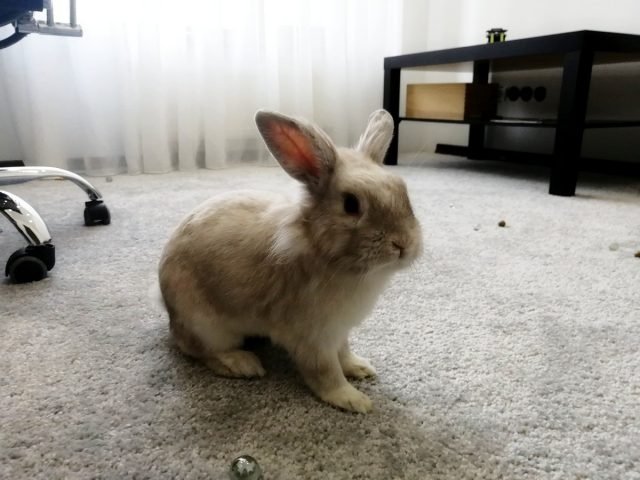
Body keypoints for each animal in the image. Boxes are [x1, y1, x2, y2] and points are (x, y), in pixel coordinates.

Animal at [158, 109, 422, 412]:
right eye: (351, 204)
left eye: (403, 191)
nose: (403, 244)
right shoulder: (313, 336)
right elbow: (325, 372)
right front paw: (353, 400)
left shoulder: (338, 331)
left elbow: (344, 353)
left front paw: (360, 367)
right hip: (206, 326)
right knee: (200, 350)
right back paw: (243, 364)